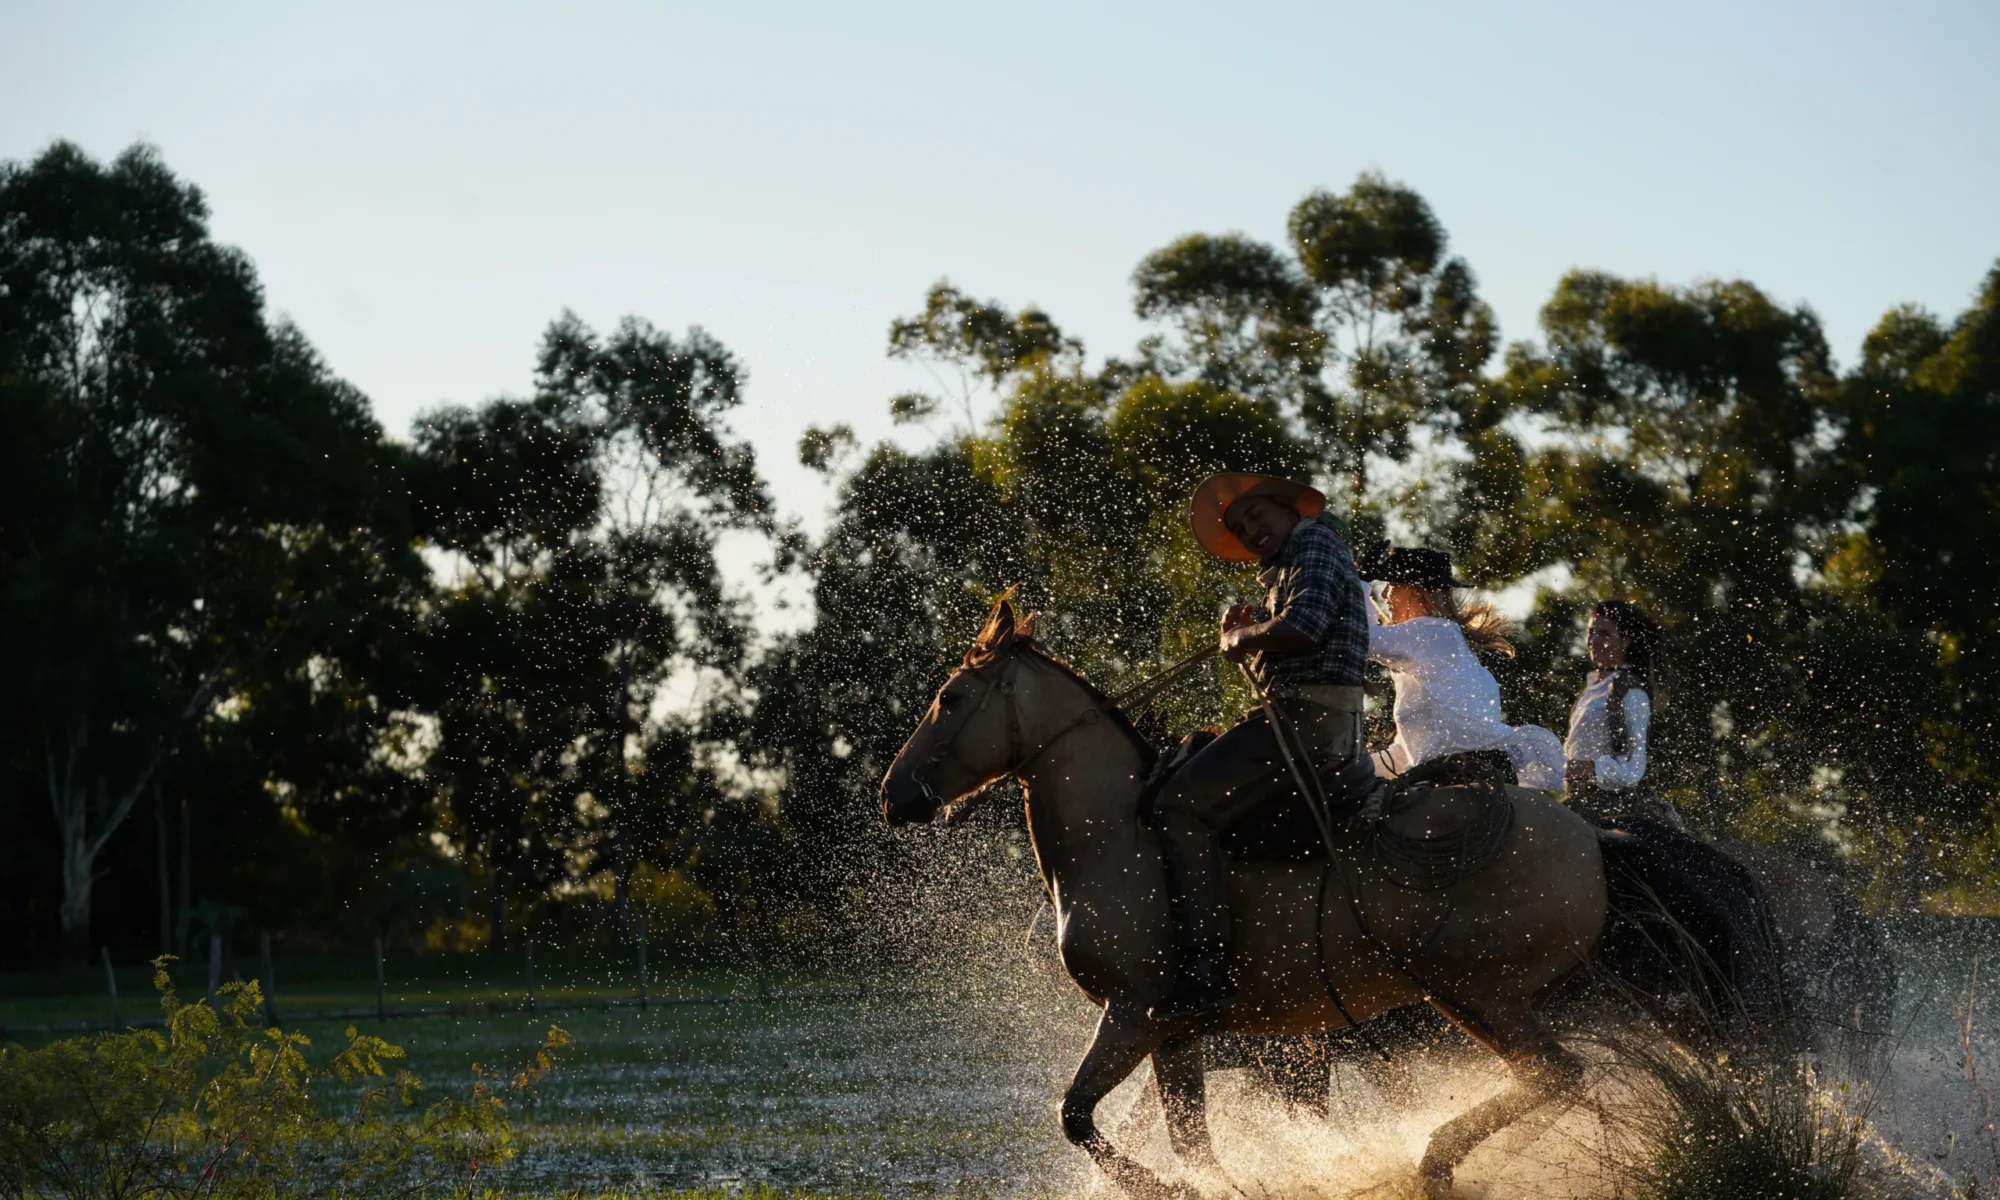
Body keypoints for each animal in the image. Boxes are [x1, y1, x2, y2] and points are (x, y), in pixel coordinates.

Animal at [878, 596, 1619, 1200]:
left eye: (951, 698)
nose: (894, 793)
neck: (1120, 834)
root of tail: (1592, 837)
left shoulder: (1131, 1016)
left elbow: (1078, 1116)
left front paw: (1169, 1187)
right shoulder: (1177, 1036)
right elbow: (1187, 1140)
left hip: (1478, 994)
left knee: (1559, 1074)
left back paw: (1431, 1163)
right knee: (1561, 1080)